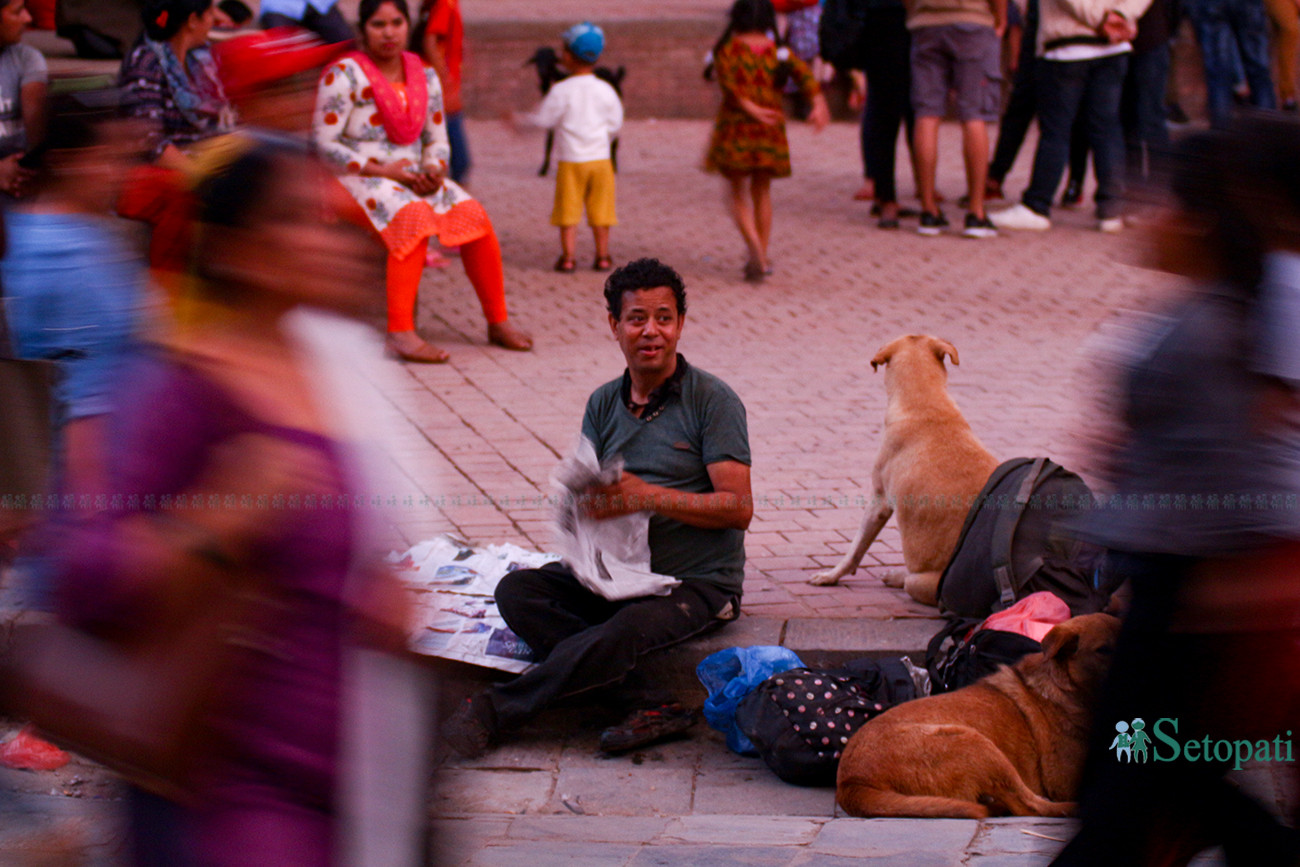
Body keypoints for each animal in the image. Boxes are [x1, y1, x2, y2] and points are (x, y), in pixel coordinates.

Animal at [806, 335, 998, 608]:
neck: (925, 401)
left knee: (911, 581)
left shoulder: (879, 501)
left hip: (925, 583)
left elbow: (855, 548)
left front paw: (832, 575)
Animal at [837, 610, 1123, 821]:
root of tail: (851, 783)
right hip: (975, 742)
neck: (1067, 688)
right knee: (1030, 805)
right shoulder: (1064, 780)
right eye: (1103, 650)